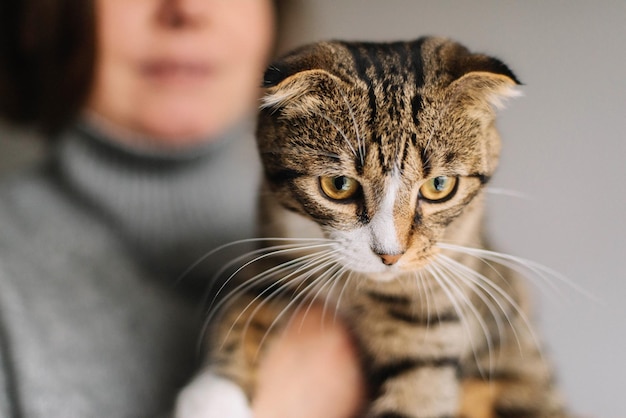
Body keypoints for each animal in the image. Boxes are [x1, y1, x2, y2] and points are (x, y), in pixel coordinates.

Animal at [173, 36, 568, 418]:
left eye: (440, 185)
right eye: (338, 184)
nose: (390, 256)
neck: (354, 287)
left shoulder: (435, 319)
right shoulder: (276, 252)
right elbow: (247, 306)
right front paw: (215, 397)